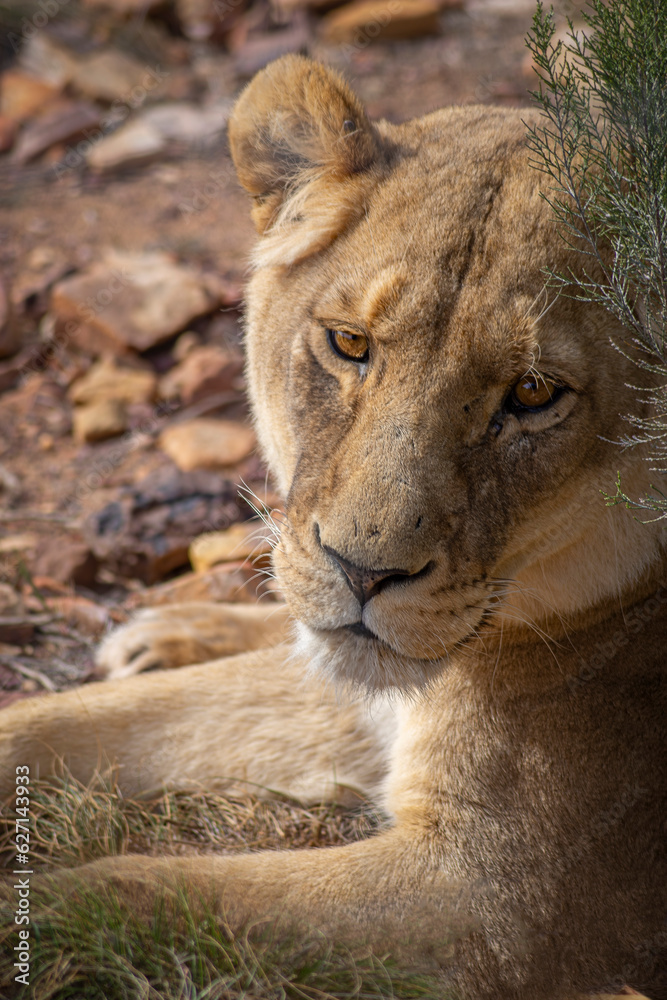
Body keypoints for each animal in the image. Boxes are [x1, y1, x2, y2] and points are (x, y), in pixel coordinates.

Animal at [1, 56, 666, 1000]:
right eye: (349, 344)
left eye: (534, 393)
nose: (362, 572)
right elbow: (74, 721)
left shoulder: (503, 896)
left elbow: (160, 889)